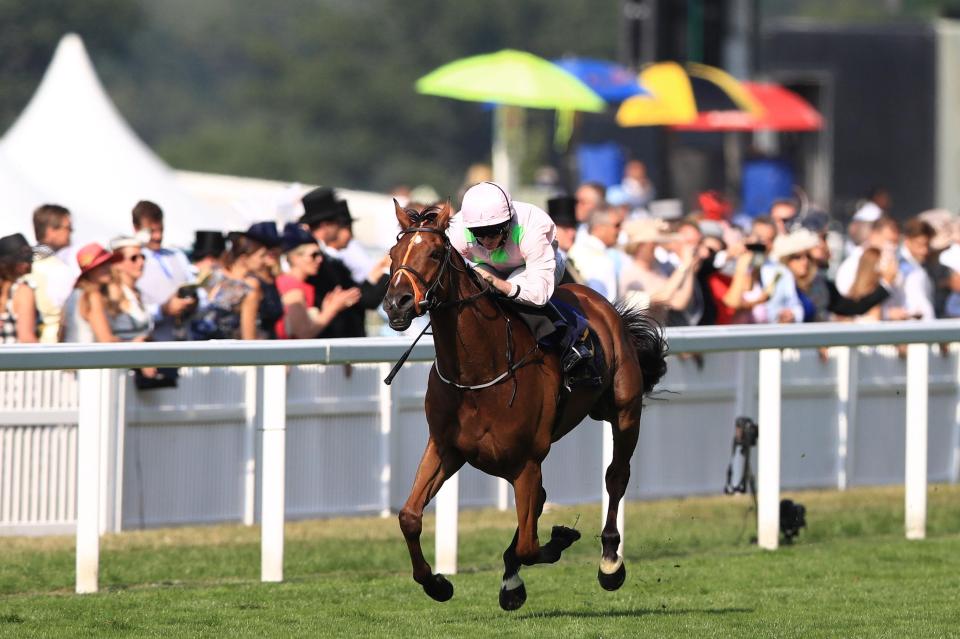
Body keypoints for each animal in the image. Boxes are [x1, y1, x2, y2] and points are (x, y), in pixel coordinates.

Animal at [382, 200, 668, 608]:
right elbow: (409, 516)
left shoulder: (527, 460)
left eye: (435, 253)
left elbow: (531, 546)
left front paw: (556, 543)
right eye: (393, 254)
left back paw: (610, 562)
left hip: (625, 411)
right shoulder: (446, 447)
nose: (396, 304)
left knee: (616, 476)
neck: (478, 373)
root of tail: (600, 302)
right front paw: (437, 583)